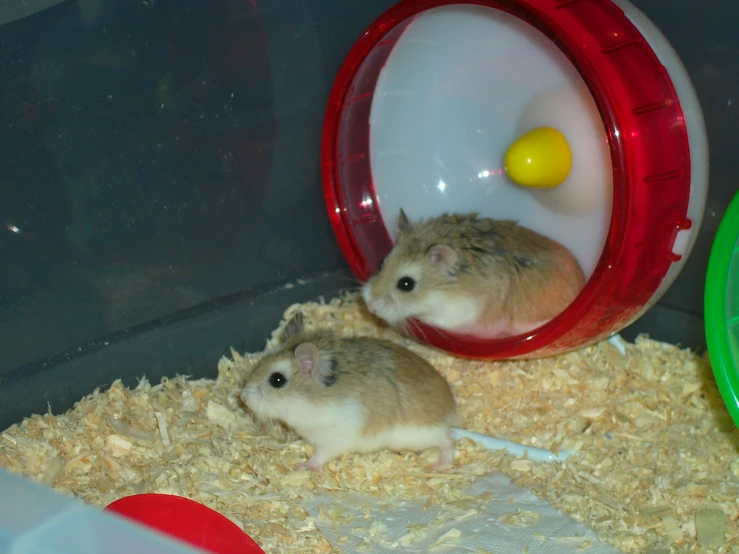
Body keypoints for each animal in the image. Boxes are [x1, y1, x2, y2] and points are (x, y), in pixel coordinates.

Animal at [240, 310, 460, 470]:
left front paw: (301, 466)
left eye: (277, 379)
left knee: (447, 442)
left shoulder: (334, 439)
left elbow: (319, 456)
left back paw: (438, 466)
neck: (309, 399)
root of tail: (451, 411)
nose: (242, 398)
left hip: (419, 436)